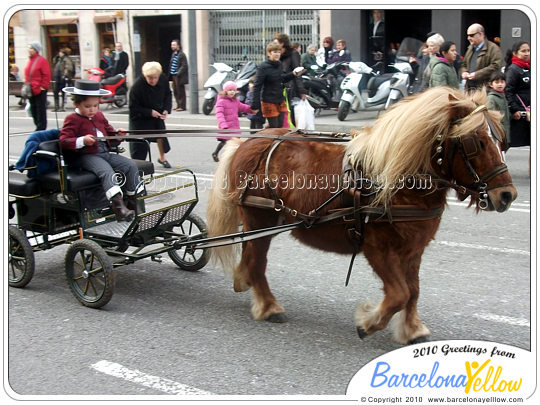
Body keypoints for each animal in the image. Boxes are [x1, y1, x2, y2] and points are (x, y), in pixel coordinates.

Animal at [206, 86, 516, 344]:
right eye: (476, 143)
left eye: (502, 141)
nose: (507, 195)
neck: (397, 180)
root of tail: (248, 142)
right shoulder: (377, 248)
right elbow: (399, 294)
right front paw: (369, 322)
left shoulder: (413, 250)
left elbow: (413, 290)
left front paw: (412, 329)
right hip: (259, 218)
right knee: (257, 261)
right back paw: (269, 306)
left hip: (262, 222)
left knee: (250, 256)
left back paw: (244, 282)